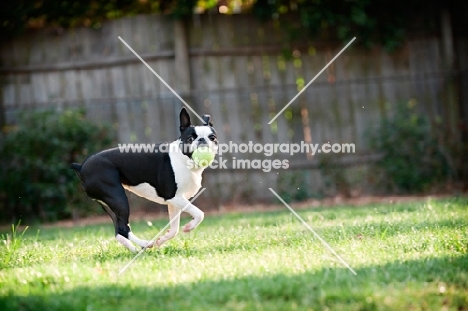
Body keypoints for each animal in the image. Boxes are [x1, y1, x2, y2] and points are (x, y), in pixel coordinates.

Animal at [70, 108, 218, 252]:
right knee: (123, 228)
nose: (202, 140)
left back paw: (136, 250)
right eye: (190, 138)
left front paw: (161, 240)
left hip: (109, 202)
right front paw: (189, 227)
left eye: (212, 137)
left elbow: (174, 229)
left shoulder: (175, 203)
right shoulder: (173, 197)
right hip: (118, 198)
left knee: (118, 231)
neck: (185, 160)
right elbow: (199, 213)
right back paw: (145, 244)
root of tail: (81, 166)